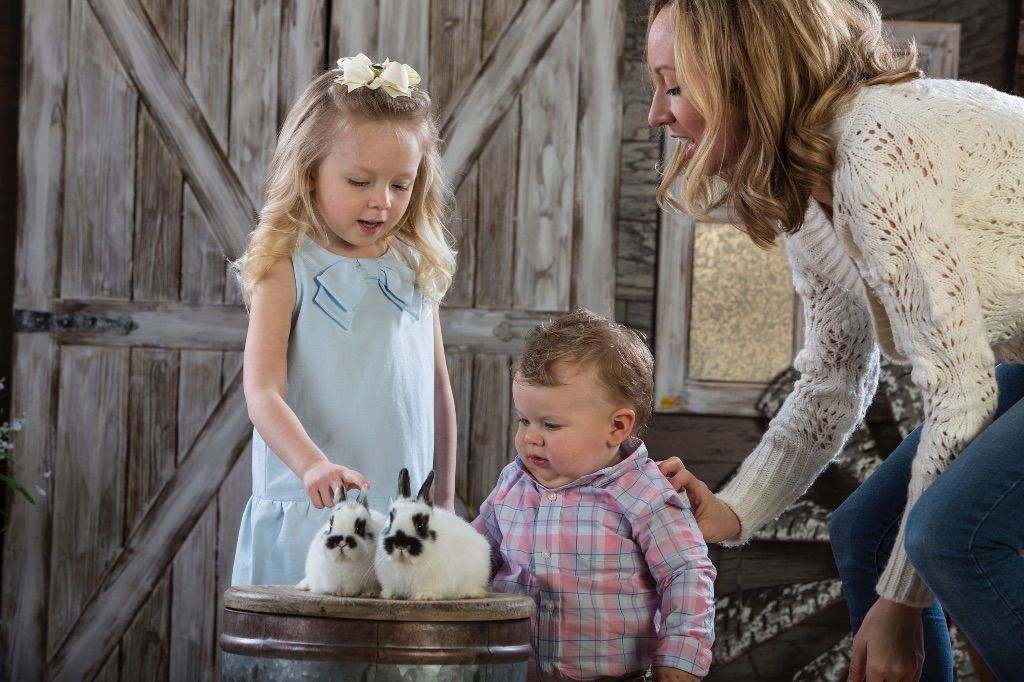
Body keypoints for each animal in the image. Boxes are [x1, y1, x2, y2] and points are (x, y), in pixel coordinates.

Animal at [376, 464, 491, 598]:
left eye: (420, 525)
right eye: (391, 520)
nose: (401, 544)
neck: (407, 563)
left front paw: (422, 596)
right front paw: (388, 595)